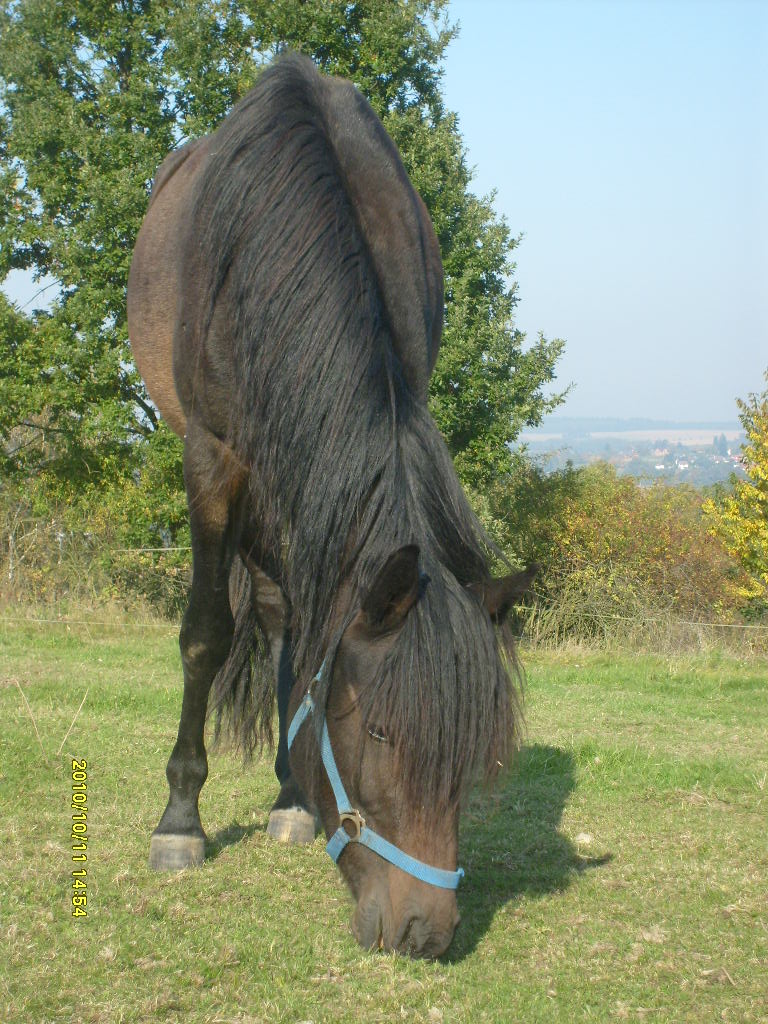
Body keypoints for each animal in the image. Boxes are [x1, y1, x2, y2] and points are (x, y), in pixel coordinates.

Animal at [128, 49, 536, 958]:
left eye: (470, 753)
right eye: (379, 733)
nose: (423, 931)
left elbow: (306, 638)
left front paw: (293, 792)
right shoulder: (213, 456)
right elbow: (204, 636)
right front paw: (179, 822)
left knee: (288, 620)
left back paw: (289, 800)